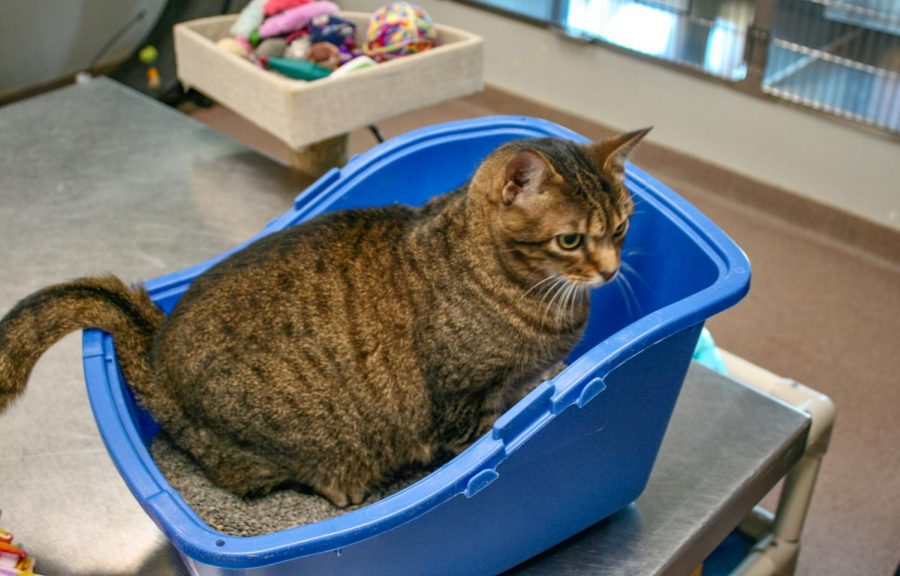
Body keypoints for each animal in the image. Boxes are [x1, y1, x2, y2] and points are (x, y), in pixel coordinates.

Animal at [0, 128, 648, 506]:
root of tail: (157, 363)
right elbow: (490, 419)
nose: (612, 270)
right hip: (313, 442)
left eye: (621, 228)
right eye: (570, 240)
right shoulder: (460, 407)